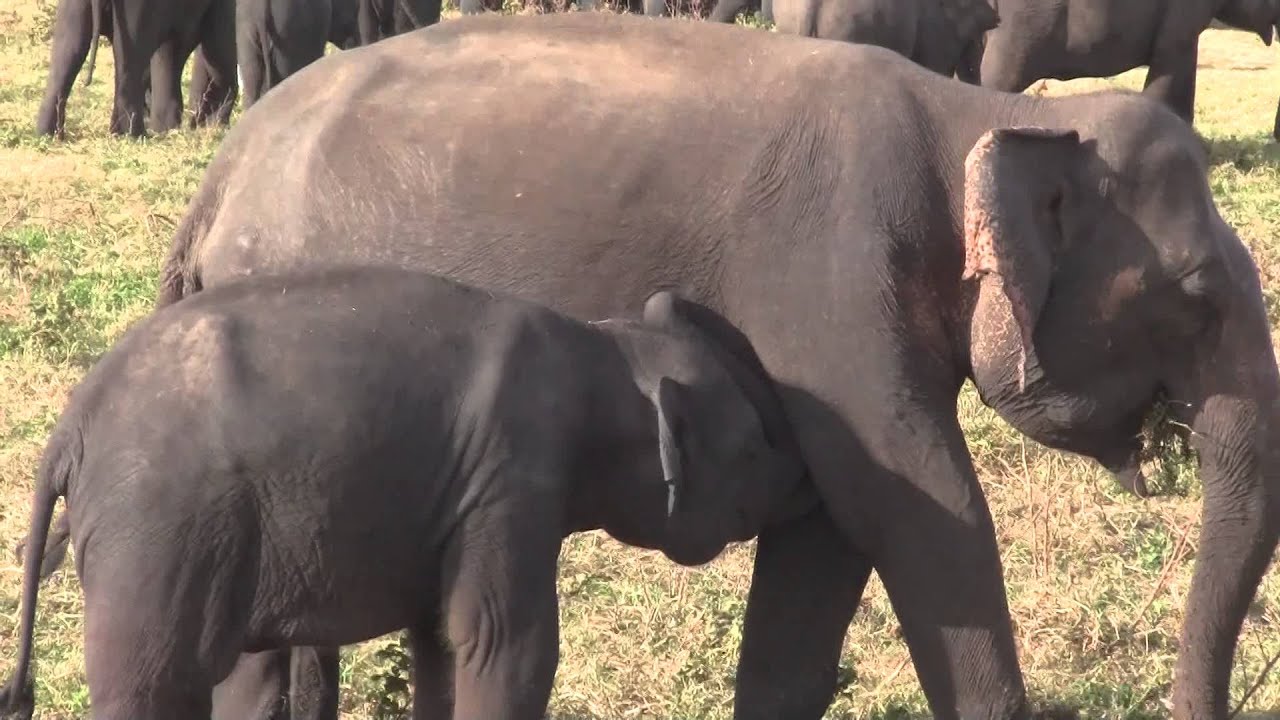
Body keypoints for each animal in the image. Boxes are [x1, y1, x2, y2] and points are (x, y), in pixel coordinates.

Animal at [0, 269, 810, 720]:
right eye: (749, 450)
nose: (803, 487)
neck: (601, 349)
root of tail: (67, 431)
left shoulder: (461, 496)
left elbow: (442, 645)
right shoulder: (511, 476)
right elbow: (505, 644)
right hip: (156, 534)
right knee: (151, 687)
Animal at [35, 0, 238, 137]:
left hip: (73, 8)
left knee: (68, 50)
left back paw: (49, 135)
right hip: (136, 9)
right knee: (135, 61)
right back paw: (135, 135)